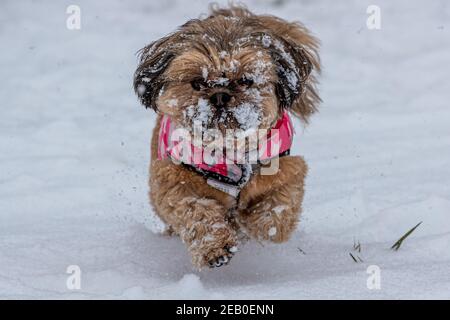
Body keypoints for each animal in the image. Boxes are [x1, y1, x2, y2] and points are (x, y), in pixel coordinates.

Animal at [134, 5, 320, 270]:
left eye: (246, 80)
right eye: (197, 82)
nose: (220, 95)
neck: (229, 151)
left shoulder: (286, 167)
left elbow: (279, 206)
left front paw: (260, 225)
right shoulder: (171, 179)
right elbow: (195, 209)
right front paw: (216, 246)